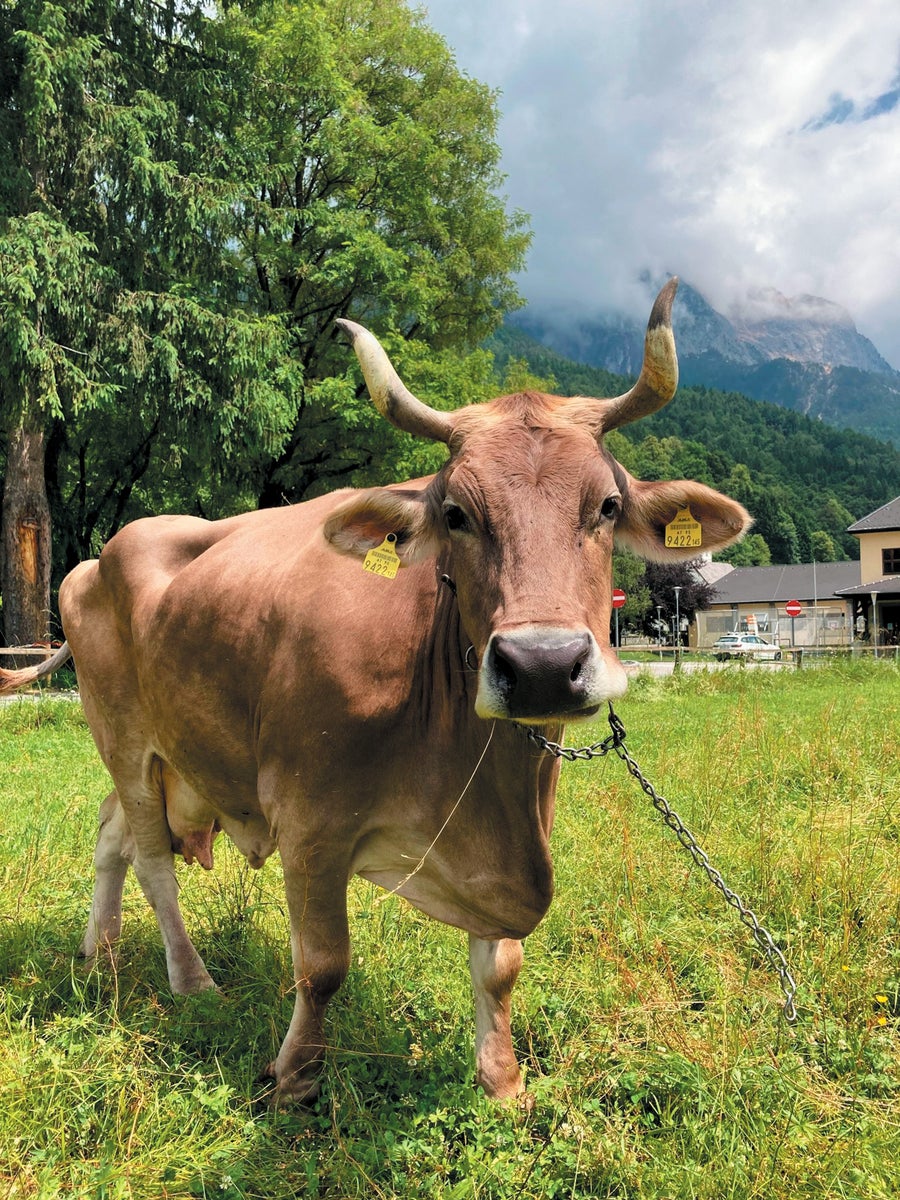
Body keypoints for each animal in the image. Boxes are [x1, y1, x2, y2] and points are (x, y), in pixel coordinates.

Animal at [1, 279, 750, 1104]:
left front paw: (503, 1082)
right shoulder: (310, 821)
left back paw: (98, 954)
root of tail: (94, 560)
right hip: (124, 734)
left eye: (608, 507)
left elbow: (501, 965)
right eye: (456, 513)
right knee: (152, 859)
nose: (543, 664)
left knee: (113, 834)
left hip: (178, 754)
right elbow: (323, 965)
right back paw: (191, 981)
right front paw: (294, 1078)